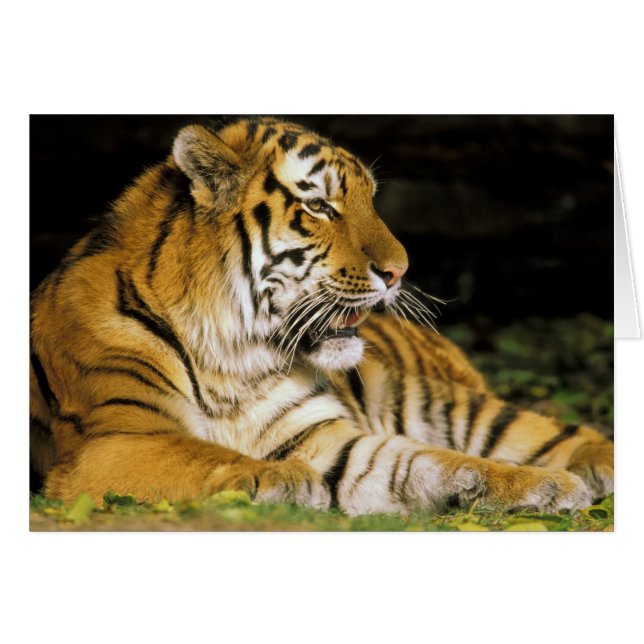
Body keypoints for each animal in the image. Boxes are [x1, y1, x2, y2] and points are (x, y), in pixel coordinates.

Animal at [30, 117, 613, 517]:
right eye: (320, 207)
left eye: (369, 201)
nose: (400, 271)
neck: (233, 360)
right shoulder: (116, 441)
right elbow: (201, 456)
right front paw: (284, 479)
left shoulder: (323, 436)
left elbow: (431, 460)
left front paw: (546, 485)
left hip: (429, 397)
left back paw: (594, 469)